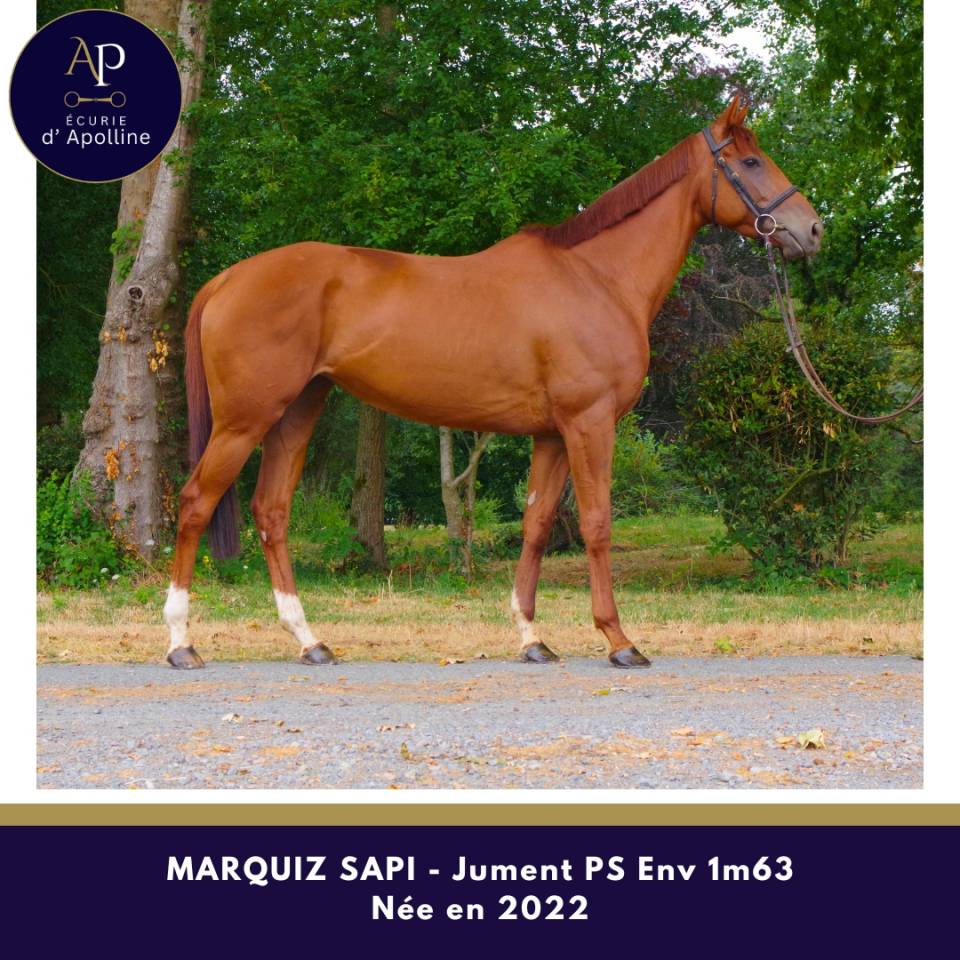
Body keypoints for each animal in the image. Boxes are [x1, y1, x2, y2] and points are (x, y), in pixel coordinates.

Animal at [163, 96, 823, 670]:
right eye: (750, 161)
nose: (812, 230)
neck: (597, 277)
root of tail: (226, 280)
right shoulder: (589, 423)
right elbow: (597, 524)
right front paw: (618, 639)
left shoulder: (552, 435)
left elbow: (536, 526)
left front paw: (532, 638)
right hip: (244, 420)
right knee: (196, 502)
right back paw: (180, 642)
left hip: (298, 411)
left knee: (271, 512)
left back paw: (310, 641)